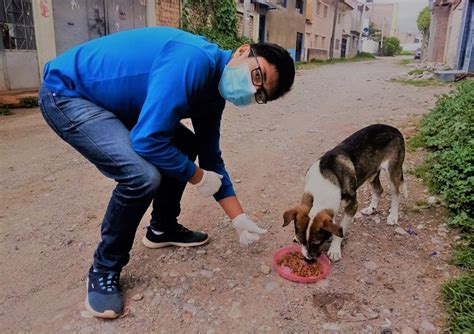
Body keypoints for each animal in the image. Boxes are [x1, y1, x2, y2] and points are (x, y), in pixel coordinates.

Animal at [284, 124, 406, 262]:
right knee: (378, 190)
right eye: (301, 240)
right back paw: (371, 209)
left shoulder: (352, 206)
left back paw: (393, 216)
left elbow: (340, 230)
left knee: (396, 193)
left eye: (317, 242)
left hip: (392, 170)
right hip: (371, 172)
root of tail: (392, 128)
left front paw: (334, 250)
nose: (308, 258)